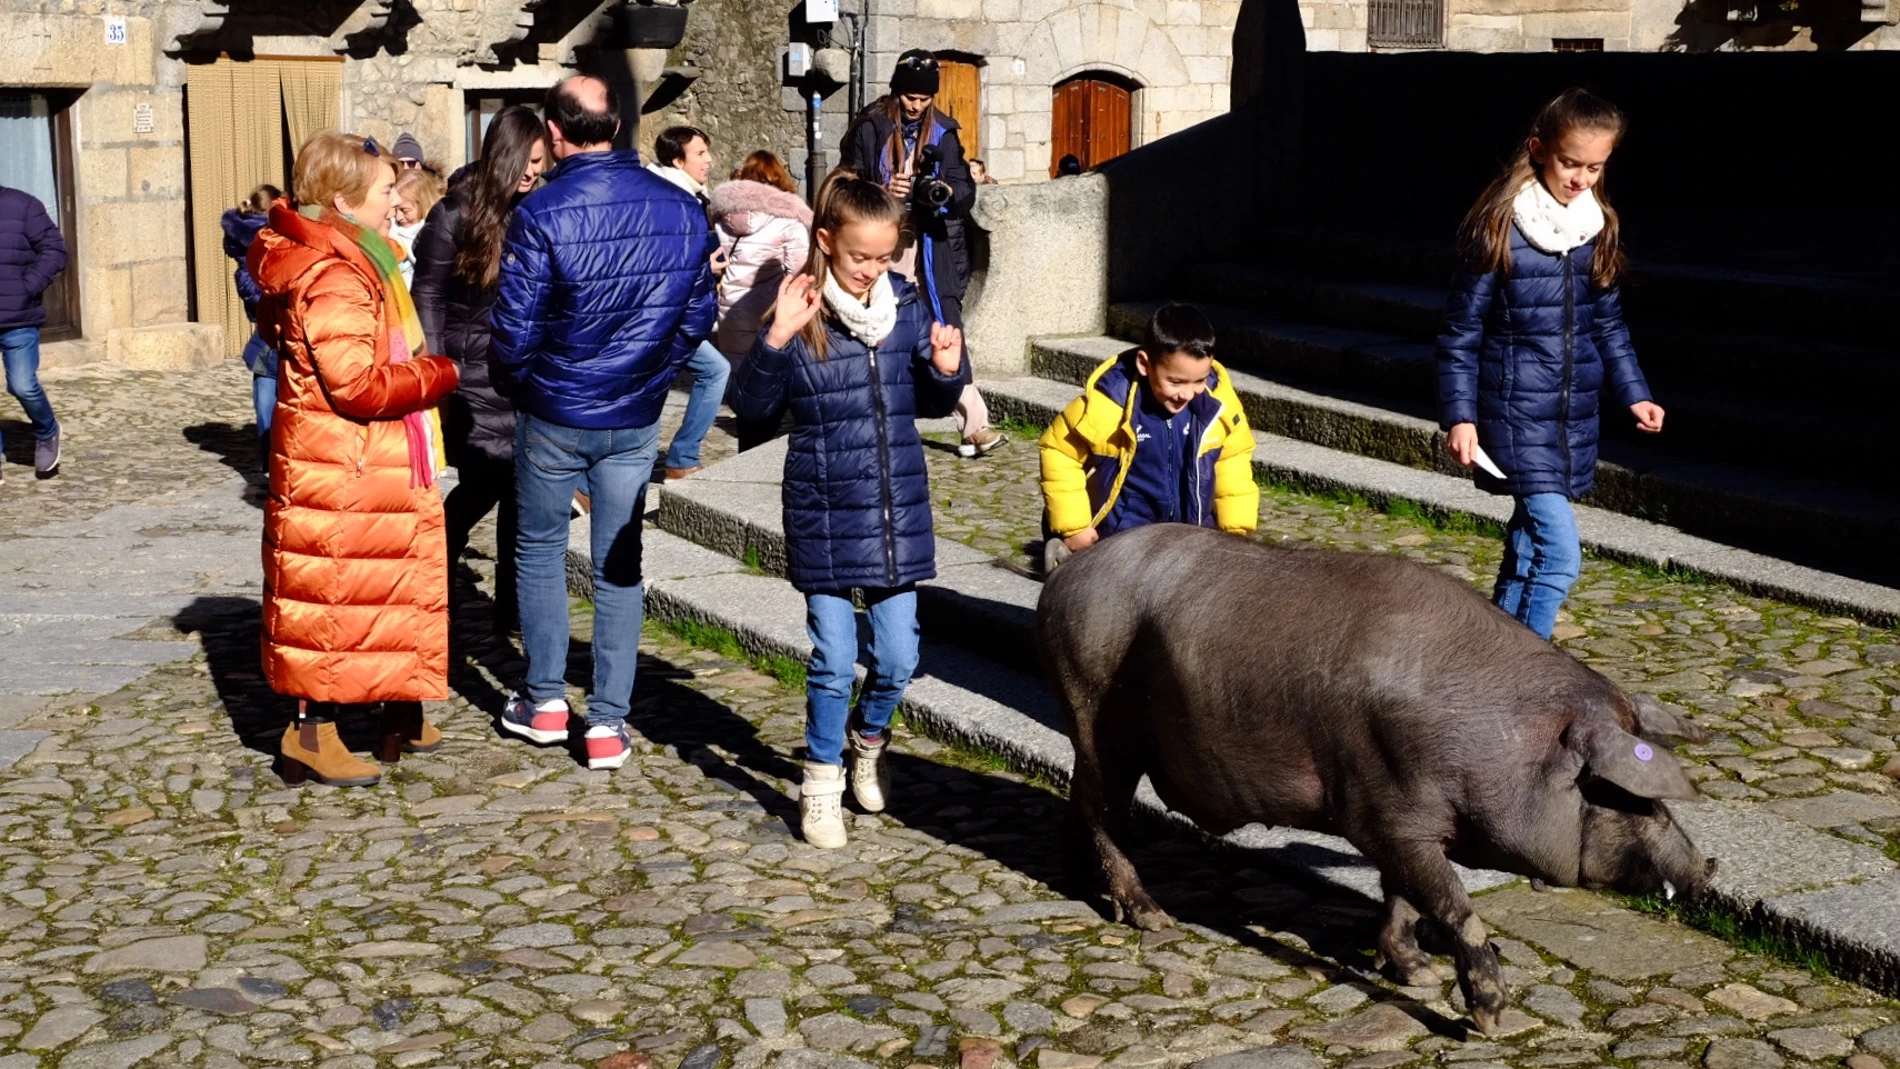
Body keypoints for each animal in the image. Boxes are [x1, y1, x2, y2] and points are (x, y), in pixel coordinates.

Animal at [1041, 527, 1725, 1040]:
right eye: (1618, 795)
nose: (1708, 867)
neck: (1493, 740)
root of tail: (1065, 574)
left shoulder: (1403, 822)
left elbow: (1403, 896)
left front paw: (1416, 972)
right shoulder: (1385, 815)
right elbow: (1454, 905)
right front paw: (1489, 1022)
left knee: (1084, 805)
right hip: (1094, 706)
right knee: (1101, 808)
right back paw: (1153, 920)